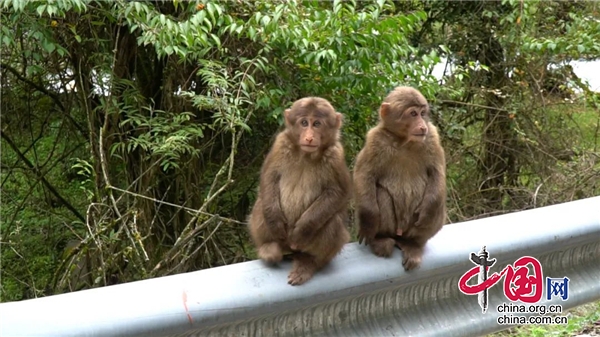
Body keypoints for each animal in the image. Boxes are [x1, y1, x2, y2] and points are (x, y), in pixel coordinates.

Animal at [248, 96, 352, 284]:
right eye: (304, 123)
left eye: (317, 124)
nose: (309, 137)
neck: (306, 154)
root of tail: (288, 247)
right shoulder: (280, 143)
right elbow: (269, 177)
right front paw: (275, 223)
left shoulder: (335, 155)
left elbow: (338, 192)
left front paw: (303, 230)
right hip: (280, 239)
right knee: (262, 203)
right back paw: (268, 248)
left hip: (304, 246)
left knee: (333, 219)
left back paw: (309, 262)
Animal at [354, 86, 448, 270]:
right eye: (413, 113)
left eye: (422, 113)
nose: (422, 126)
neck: (404, 141)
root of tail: (399, 235)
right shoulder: (375, 139)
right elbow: (364, 174)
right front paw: (369, 223)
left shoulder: (432, 137)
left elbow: (437, 172)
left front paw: (428, 211)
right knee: (381, 194)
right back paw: (380, 239)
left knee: (437, 205)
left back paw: (412, 244)